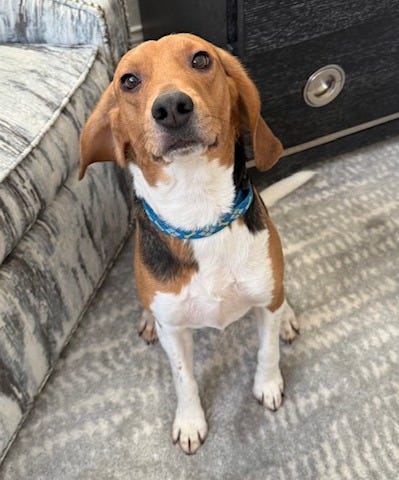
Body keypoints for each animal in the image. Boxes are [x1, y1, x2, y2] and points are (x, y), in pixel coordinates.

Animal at [79, 33, 308, 454]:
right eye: (128, 81)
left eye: (202, 59)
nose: (171, 107)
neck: (199, 213)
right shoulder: (175, 331)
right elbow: (183, 378)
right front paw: (189, 422)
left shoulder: (264, 300)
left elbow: (267, 350)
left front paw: (268, 385)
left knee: (279, 300)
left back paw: (287, 317)